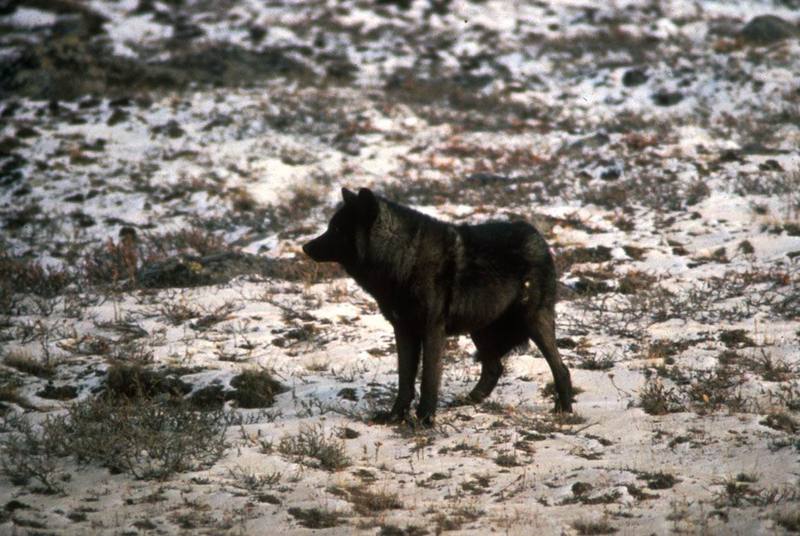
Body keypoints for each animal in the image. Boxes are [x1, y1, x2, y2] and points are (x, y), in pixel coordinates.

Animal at [304, 186, 572, 426]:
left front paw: (425, 419)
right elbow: (405, 381)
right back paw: (468, 401)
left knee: (561, 368)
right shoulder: (403, 331)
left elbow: (428, 380)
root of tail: (537, 236)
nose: (305, 247)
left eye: (336, 229)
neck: (403, 259)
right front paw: (395, 417)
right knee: (494, 368)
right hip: (480, 329)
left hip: (532, 323)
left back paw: (565, 411)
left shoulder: (432, 330)